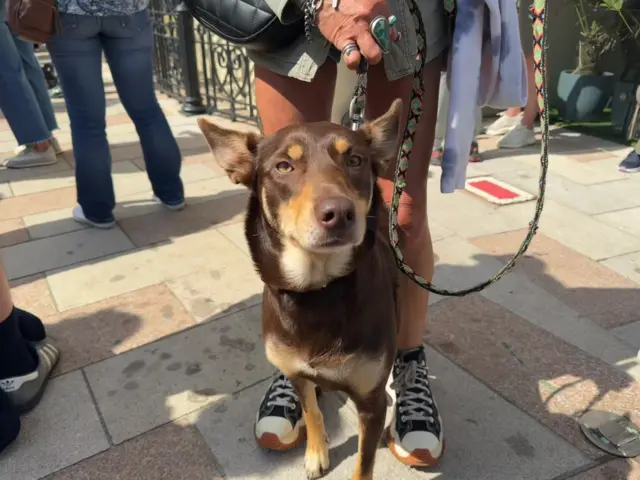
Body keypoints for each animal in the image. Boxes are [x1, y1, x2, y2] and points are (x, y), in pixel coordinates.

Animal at [198, 98, 402, 480]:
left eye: (355, 160)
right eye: (284, 166)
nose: (339, 213)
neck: (319, 290)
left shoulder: (371, 402)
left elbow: (363, 464)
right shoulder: (297, 375)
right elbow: (312, 413)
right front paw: (316, 453)